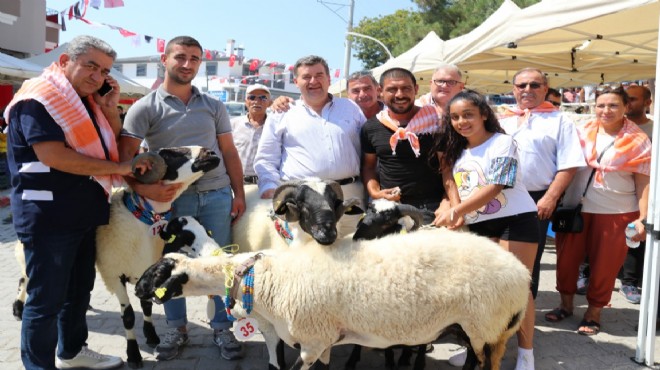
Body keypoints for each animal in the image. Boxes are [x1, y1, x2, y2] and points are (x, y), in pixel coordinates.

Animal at [135, 225, 532, 370]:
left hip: (482, 325)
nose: (137, 289)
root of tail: (521, 274)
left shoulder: (311, 340)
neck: (265, 278)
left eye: (159, 272)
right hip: (484, 330)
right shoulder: (323, 340)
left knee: (479, 363)